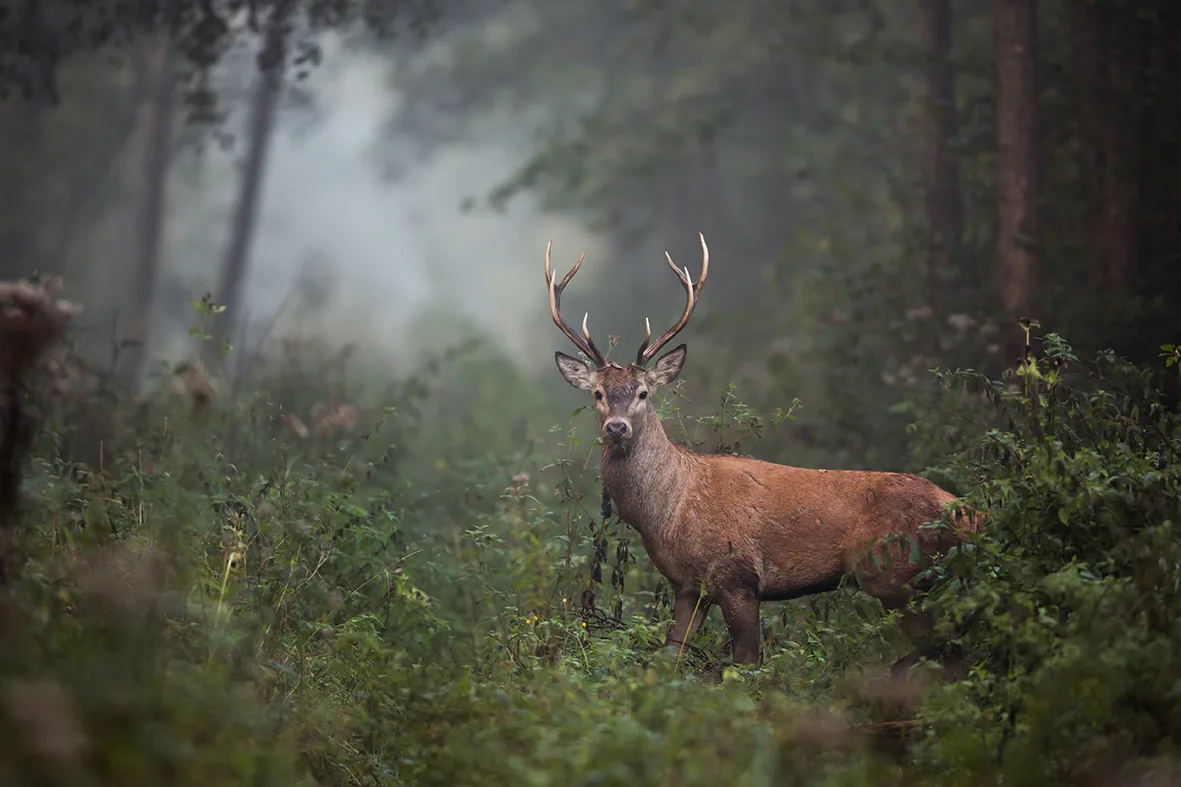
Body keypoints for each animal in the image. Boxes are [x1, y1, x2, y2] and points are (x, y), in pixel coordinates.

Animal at [544, 233, 980, 669]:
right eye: (598, 393)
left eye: (643, 392)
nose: (616, 427)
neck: (670, 513)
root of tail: (965, 512)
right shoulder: (689, 585)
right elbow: (670, 655)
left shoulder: (738, 575)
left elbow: (746, 663)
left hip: (896, 572)